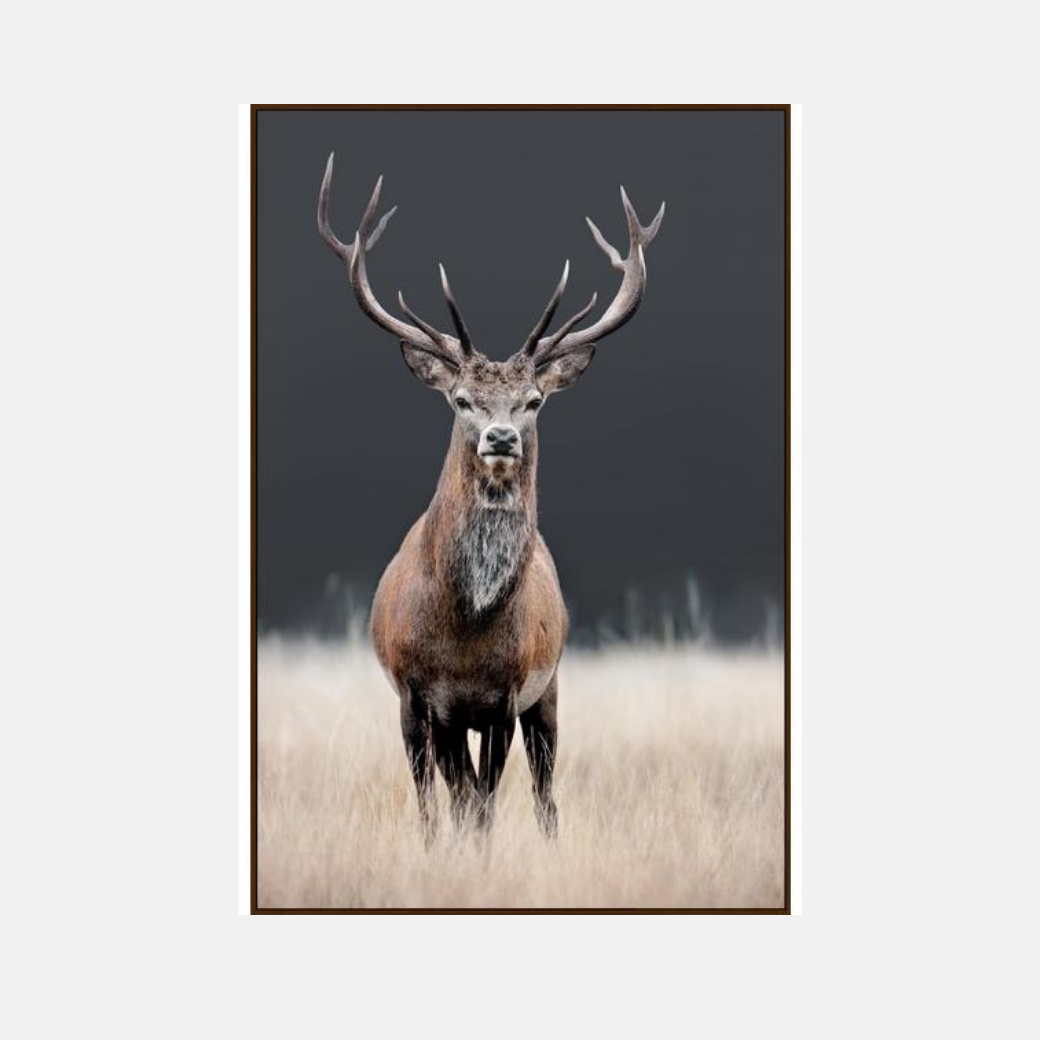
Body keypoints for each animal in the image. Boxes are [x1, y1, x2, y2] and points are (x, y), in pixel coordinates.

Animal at [318, 154, 664, 843]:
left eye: (533, 401)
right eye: (461, 400)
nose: (500, 436)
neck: (464, 635)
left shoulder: (506, 694)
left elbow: (485, 805)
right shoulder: (416, 695)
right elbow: (436, 804)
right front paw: (434, 852)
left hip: (550, 688)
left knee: (543, 792)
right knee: (461, 790)